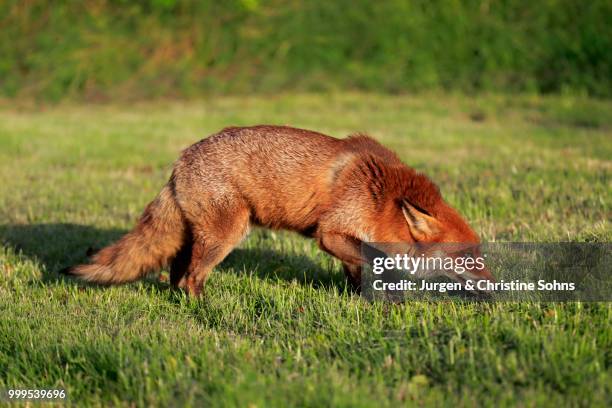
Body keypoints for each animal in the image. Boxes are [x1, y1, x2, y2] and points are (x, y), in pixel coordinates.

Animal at [69, 126, 494, 294]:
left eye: (480, 253)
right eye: (466, 257)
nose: (493, 284)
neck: (384, 199)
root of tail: (180, 160)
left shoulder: (345, 239)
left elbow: (357, 271)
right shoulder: (332, 232)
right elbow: (371, 259)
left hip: (196, 235)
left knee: (178, 273)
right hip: (226, 234)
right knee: (191, 278)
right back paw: (205, 311)